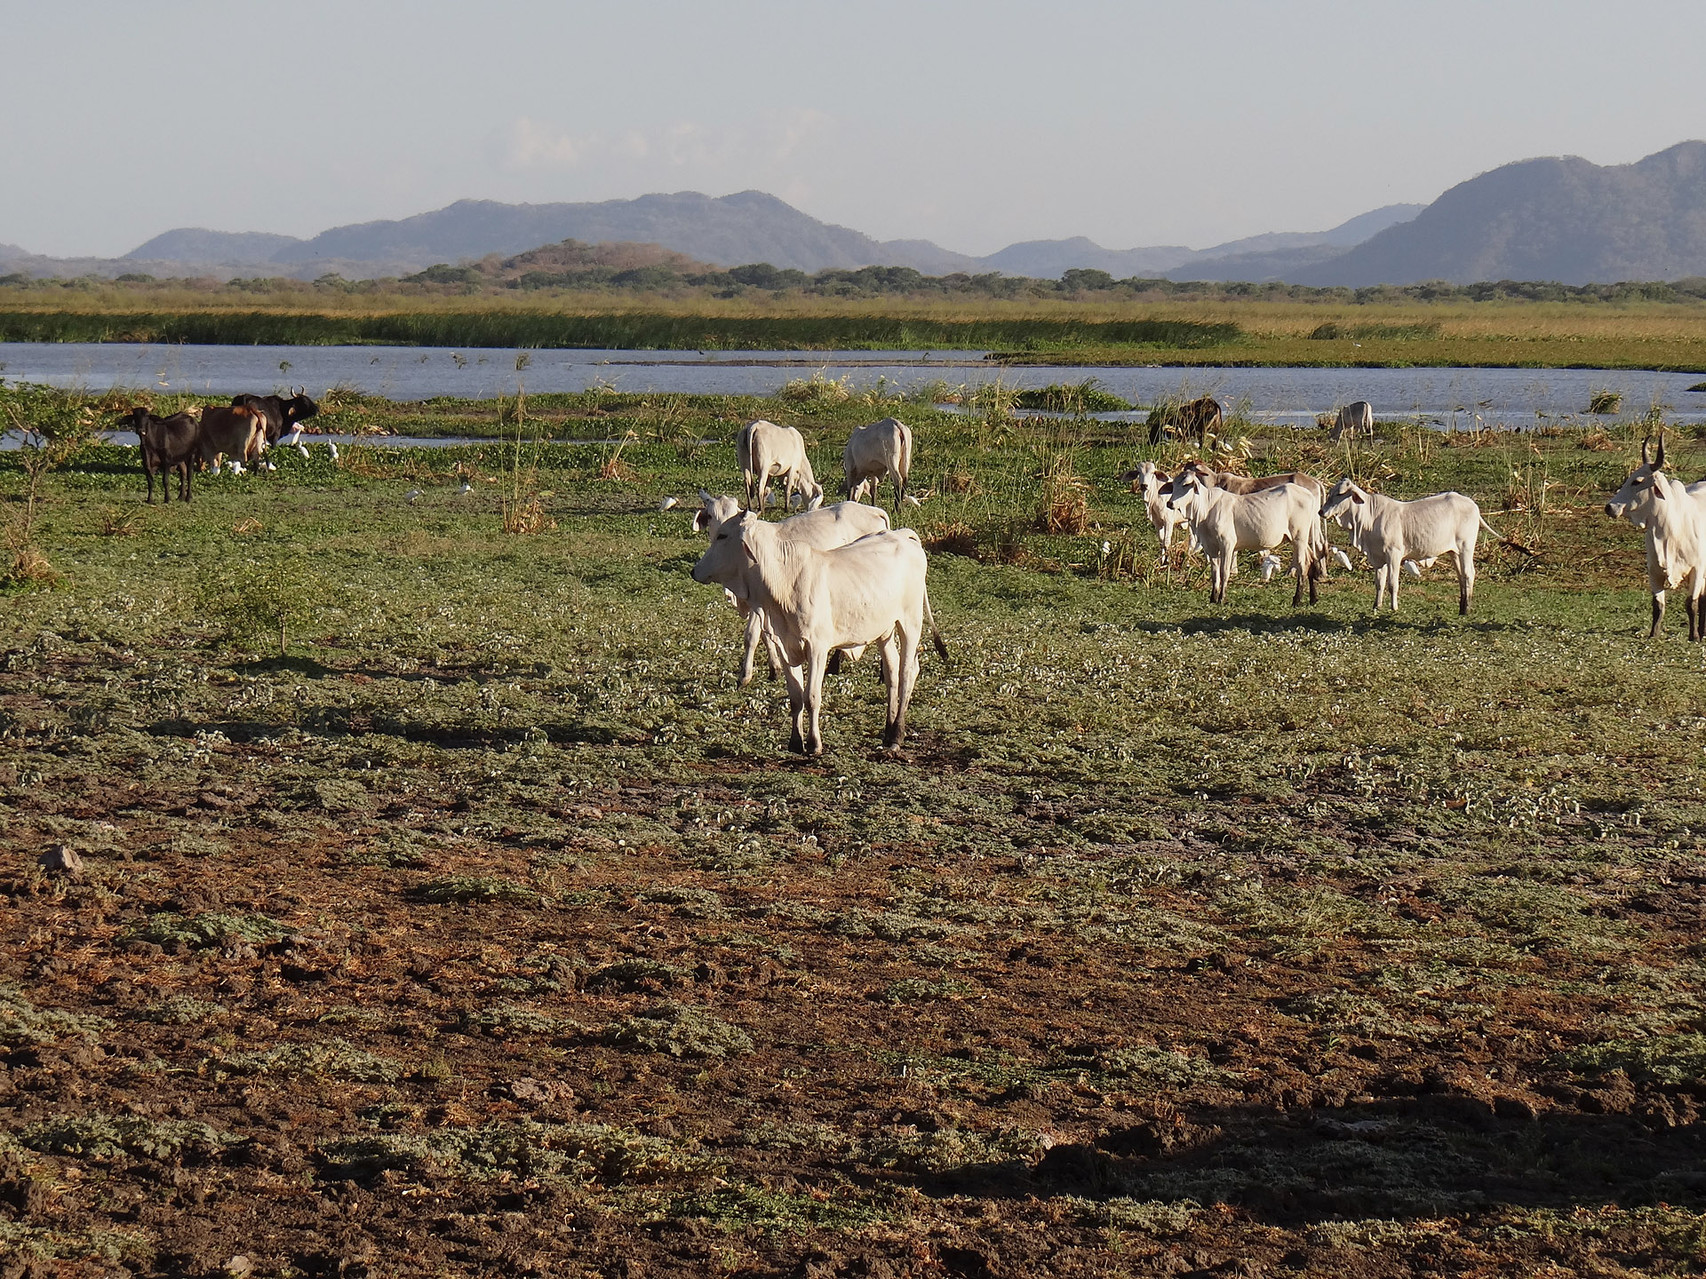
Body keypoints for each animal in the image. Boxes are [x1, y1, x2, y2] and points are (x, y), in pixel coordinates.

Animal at [689, 515, 948, 757]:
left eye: (723, 535)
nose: (694, 571)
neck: (784, 580)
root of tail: (902, 534)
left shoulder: (817, 648)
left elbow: (811, 696)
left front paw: (814, 744)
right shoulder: (785, 646)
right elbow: (795, 697)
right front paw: (795, 742)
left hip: (910, 622)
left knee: (907, 672)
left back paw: (896, 735)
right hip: (884, 630)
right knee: (892, 671)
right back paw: (887, 730)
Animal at [692, 494, 893, 692]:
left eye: (732, 517)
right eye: (710, 516)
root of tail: (874, 511)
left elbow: (751, 636)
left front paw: (744, 677)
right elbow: (767, 636)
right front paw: (774, 669)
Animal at [1166, 474, 1323, 607]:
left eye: (1186, 484)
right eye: (1174, 485)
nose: (1170, 503)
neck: (1206, 509)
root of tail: (1308, 494)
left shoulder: (1227, 544)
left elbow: (1224, 572)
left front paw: (1222, 598)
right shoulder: (1210, 546)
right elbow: (1214, 573)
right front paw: (1213, 598)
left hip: (1299, 536)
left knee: (1302, 564)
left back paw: (1297, 600)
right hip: (1297, 539)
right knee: (1310, 561)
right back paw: (1313, 599)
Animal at [1310, 480, 1501, 620]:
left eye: (1340, 494)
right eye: (1330, 493)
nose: (1321, 511)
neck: (1369, 517)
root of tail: (1472, 505)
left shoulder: (1393, 554)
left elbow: (1392, 583)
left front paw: (1393, 607)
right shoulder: (1378, 557)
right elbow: (1379, 583)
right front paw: (1376, 605)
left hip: (1466, 547)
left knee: (1469, 574)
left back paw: (1467, 608)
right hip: (1454, 552)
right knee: (1461, 576)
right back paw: (1461, 608)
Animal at [1596, 439, 1706, 641]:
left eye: (1637, 481)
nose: (1609, 507)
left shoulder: (1697, 569)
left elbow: (1691, 604)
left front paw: (1693, 636)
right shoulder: (1653, 571)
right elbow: (1658, 605)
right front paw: (1653, 634)